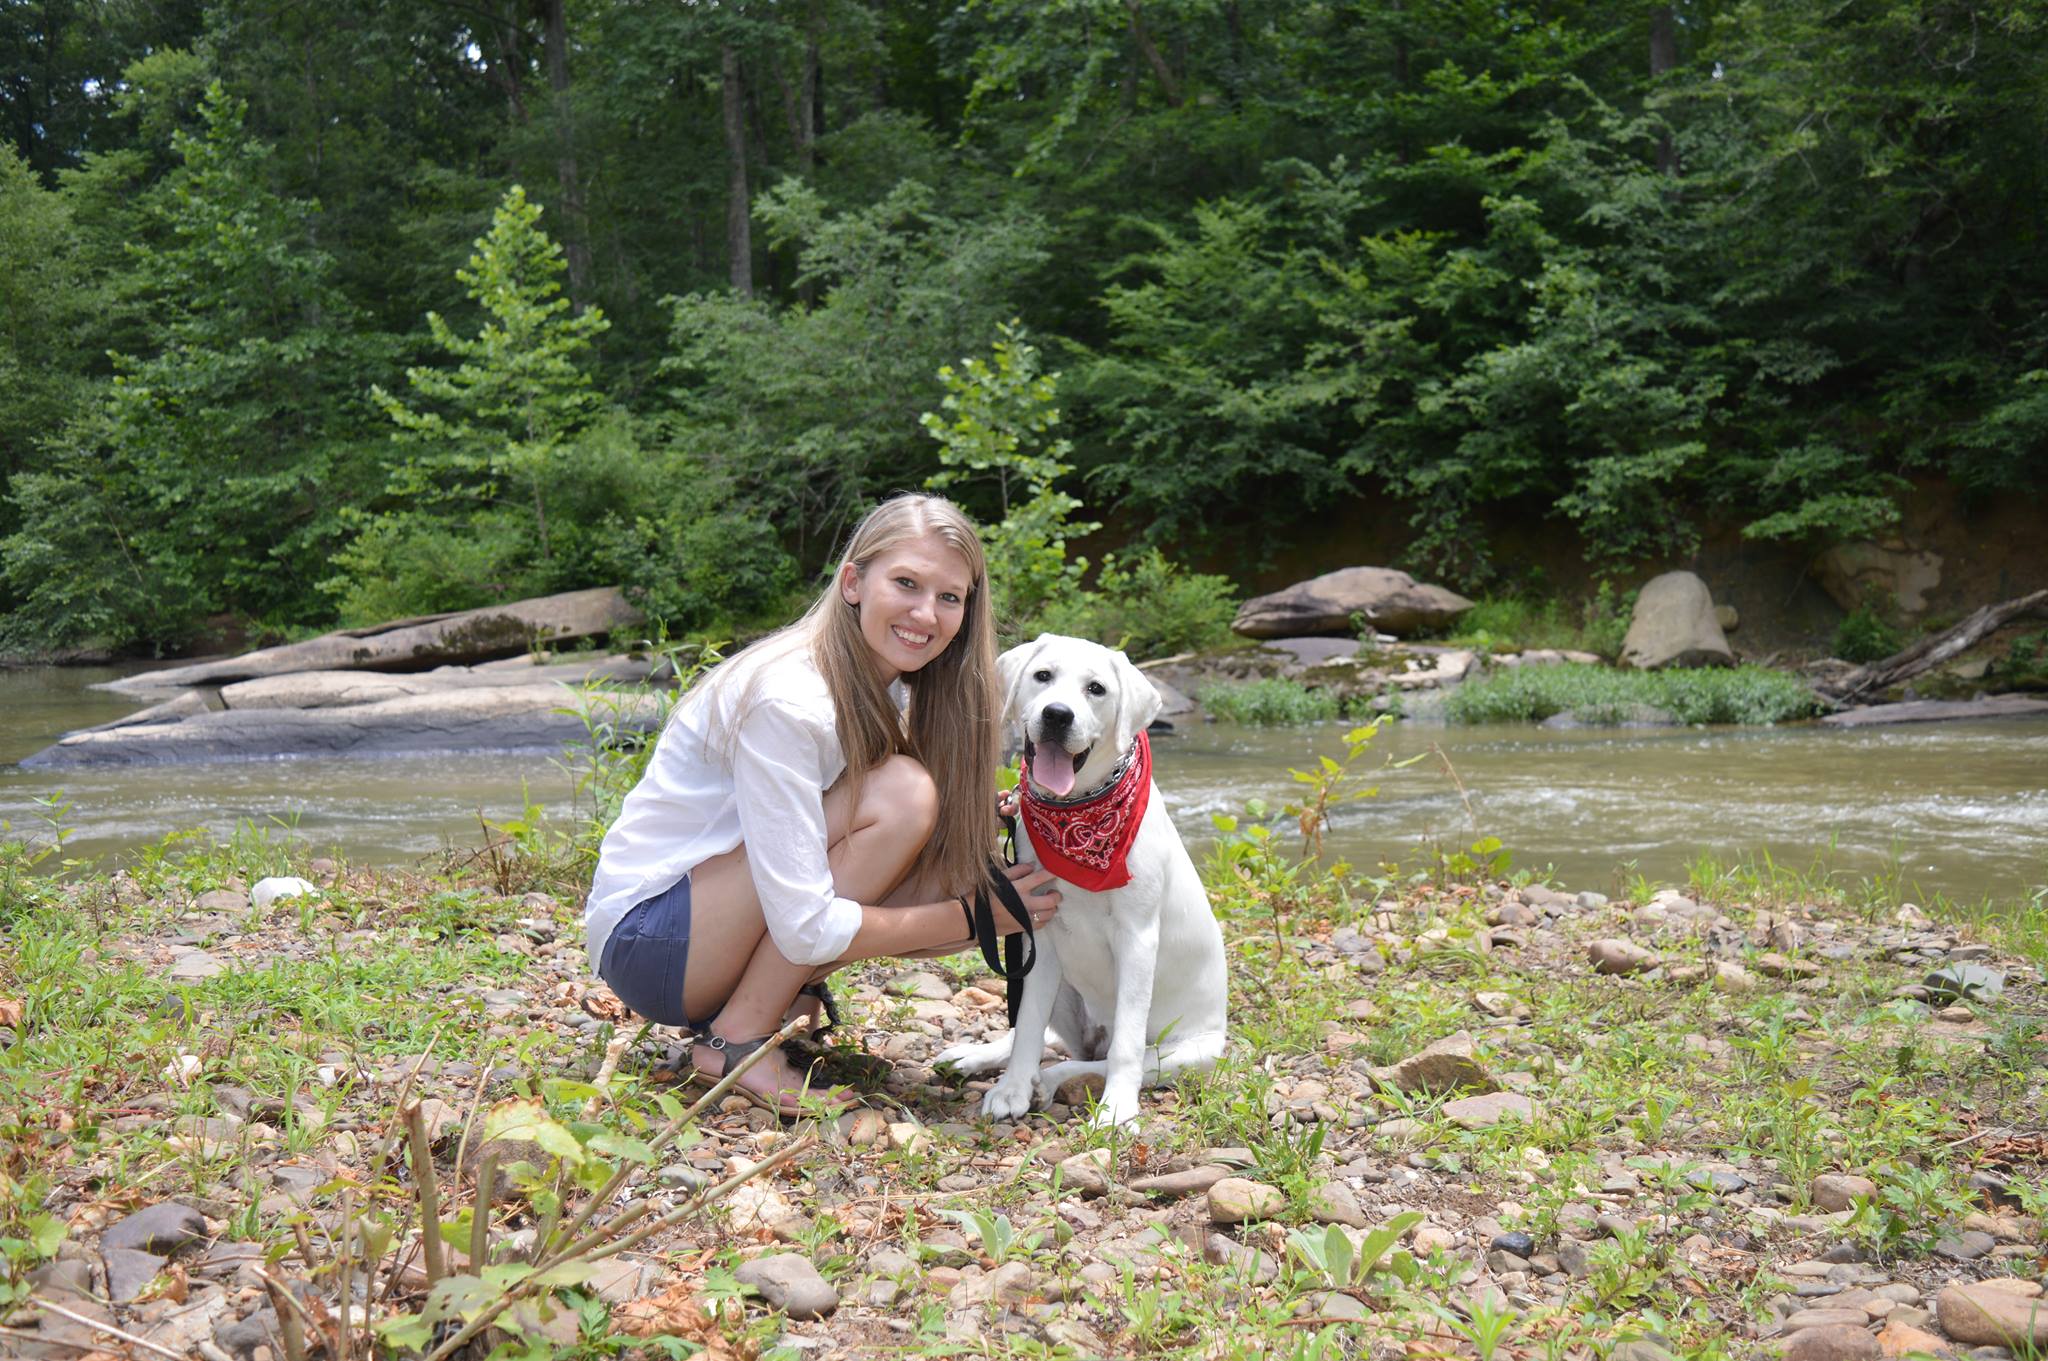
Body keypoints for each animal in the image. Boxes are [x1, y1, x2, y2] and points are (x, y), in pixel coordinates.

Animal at [937, 630, 1220, 1121]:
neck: (1076, 814)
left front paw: (1116, 1109)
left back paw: (1052, 1082)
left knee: (1100, 1060)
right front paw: (1011, 1088)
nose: (1056, 714)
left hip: (1189, 1052)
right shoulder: (1040, 933)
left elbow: (1126, 1047)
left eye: (1096, 689)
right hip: (1063, 987)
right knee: (1046, 1037)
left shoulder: (1138, 938)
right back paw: (977, 1058)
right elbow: (1028, 1023)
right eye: (1042, 676)